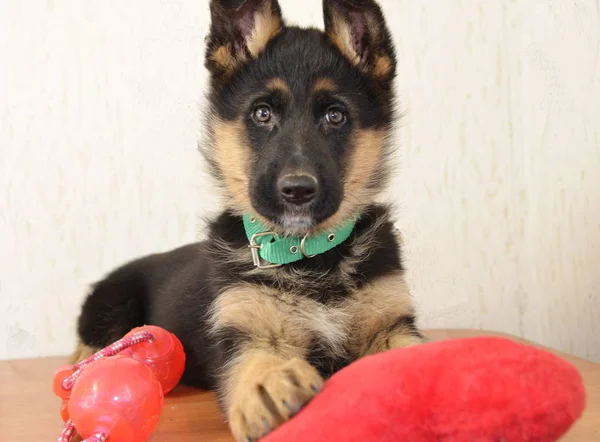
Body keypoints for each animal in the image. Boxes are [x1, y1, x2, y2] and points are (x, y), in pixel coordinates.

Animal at [72, 1, 424, 440]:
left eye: (336, 116)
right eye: (262, 113)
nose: (297, 190)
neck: (308, 254)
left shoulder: (390, 324)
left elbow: (414, 351)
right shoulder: (245, 327)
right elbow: (254, 360)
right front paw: (267, 383)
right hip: (111, 304)